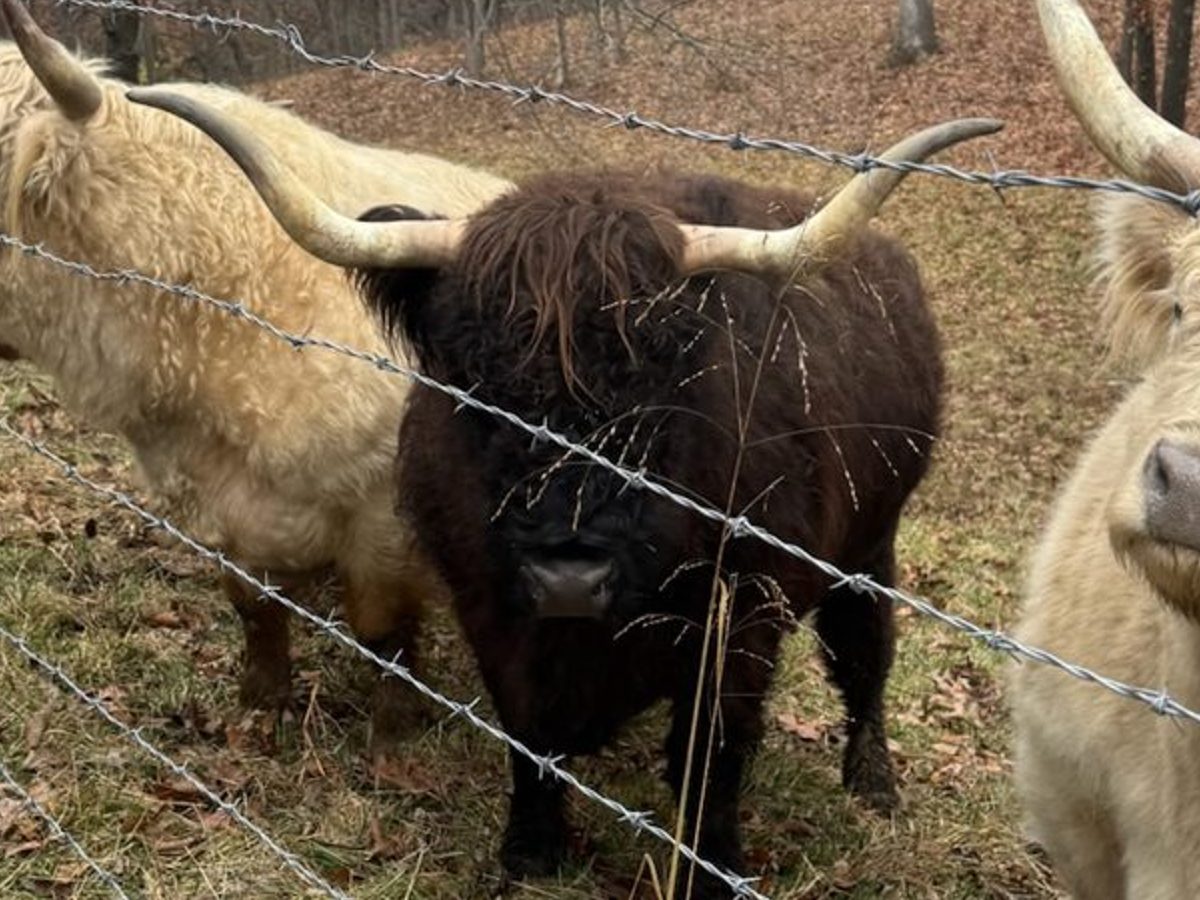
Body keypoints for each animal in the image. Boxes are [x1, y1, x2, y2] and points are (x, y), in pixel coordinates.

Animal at [0, 0, 513, 755]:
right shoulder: (218, 509)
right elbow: (254, 610)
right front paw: (261, 705)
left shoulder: (381, 513)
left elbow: (383, 631)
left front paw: (393, 737)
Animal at [132, 84, 1001, 895]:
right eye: (473, 376)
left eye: (663, 371)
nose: (569, 576)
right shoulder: (489, 603)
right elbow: (528, 732)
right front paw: (530, 850)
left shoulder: (741, 618)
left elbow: (710, 751)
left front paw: (712, 865)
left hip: (870, 546)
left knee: (864, 655)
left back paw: (873, 781)